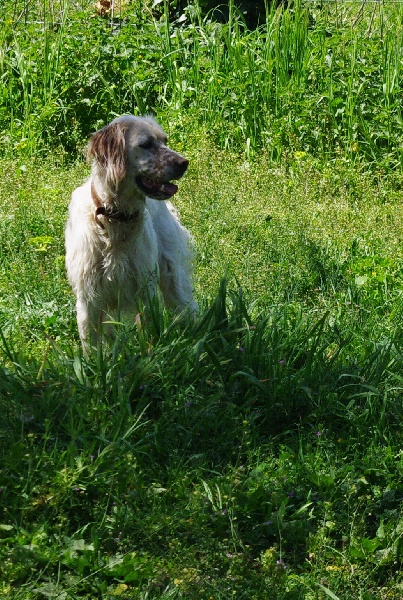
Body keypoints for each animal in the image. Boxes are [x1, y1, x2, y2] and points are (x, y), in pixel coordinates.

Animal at [65, 115, 198, 350]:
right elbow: (91, 346)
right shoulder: (87, 298)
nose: (184, 163)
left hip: (172, 275)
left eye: (165, 141)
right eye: (146, 144)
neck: (113, 221)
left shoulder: (146, 289)